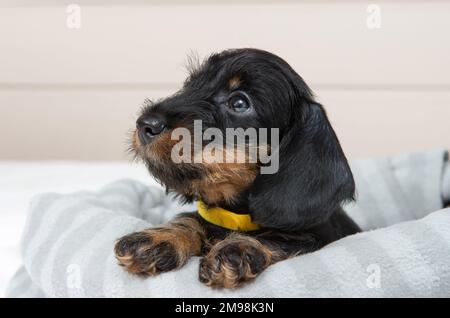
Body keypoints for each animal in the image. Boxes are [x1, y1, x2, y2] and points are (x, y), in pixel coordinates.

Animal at [114, 48, 360, 290]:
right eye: (190, 84)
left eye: (239, 103)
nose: (145, 124)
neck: (234, 215)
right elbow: (192, 220)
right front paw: (159, 238)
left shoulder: (315, 240)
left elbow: (280, 240)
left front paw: (237, 249)